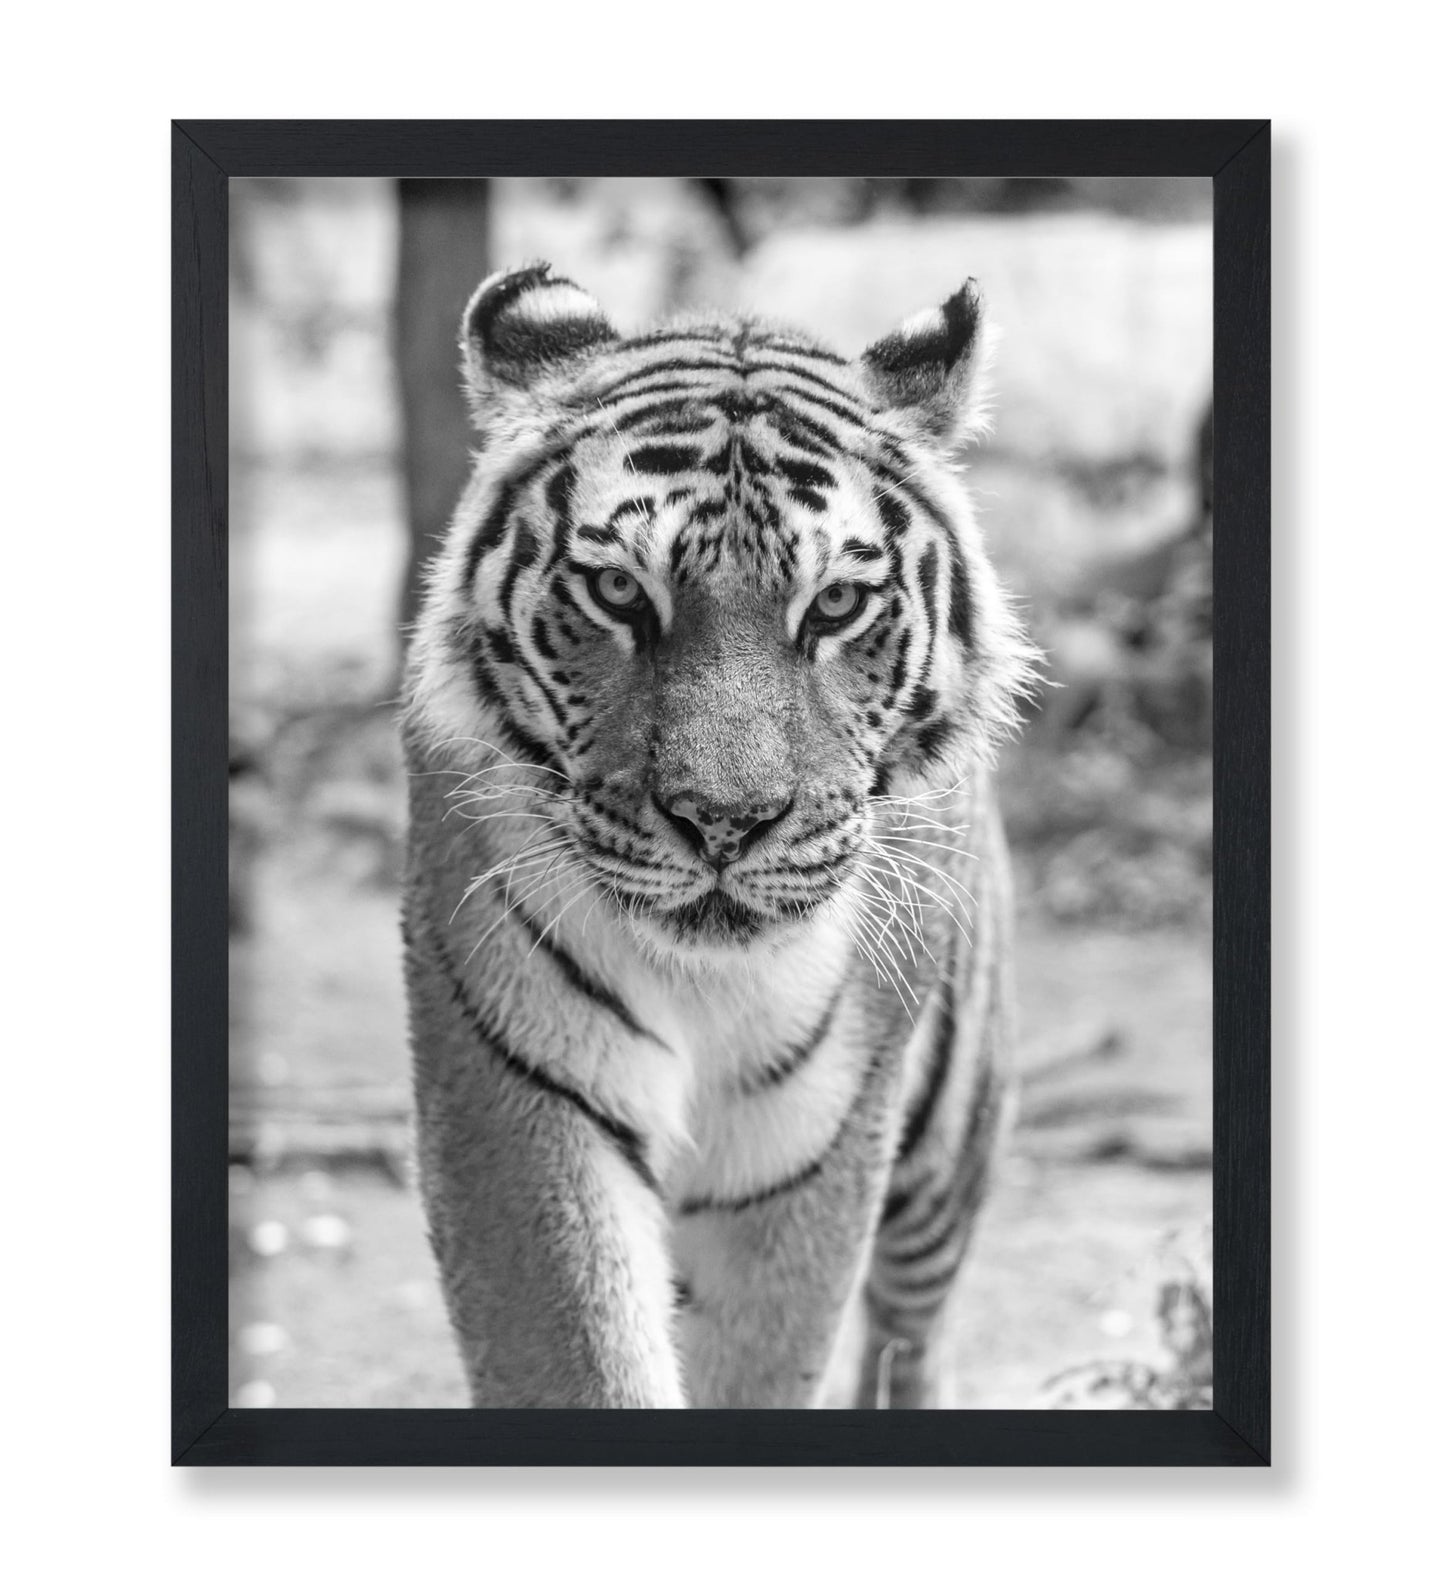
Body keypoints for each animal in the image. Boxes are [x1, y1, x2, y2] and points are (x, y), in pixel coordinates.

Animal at [401, 261, 1036, 1409]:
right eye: (617, 590)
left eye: (834, 604)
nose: (724, 820)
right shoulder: (521, 1090)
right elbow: (581, 1352)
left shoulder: (810, 1138)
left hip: (947, 1139)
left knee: (910, 1328)